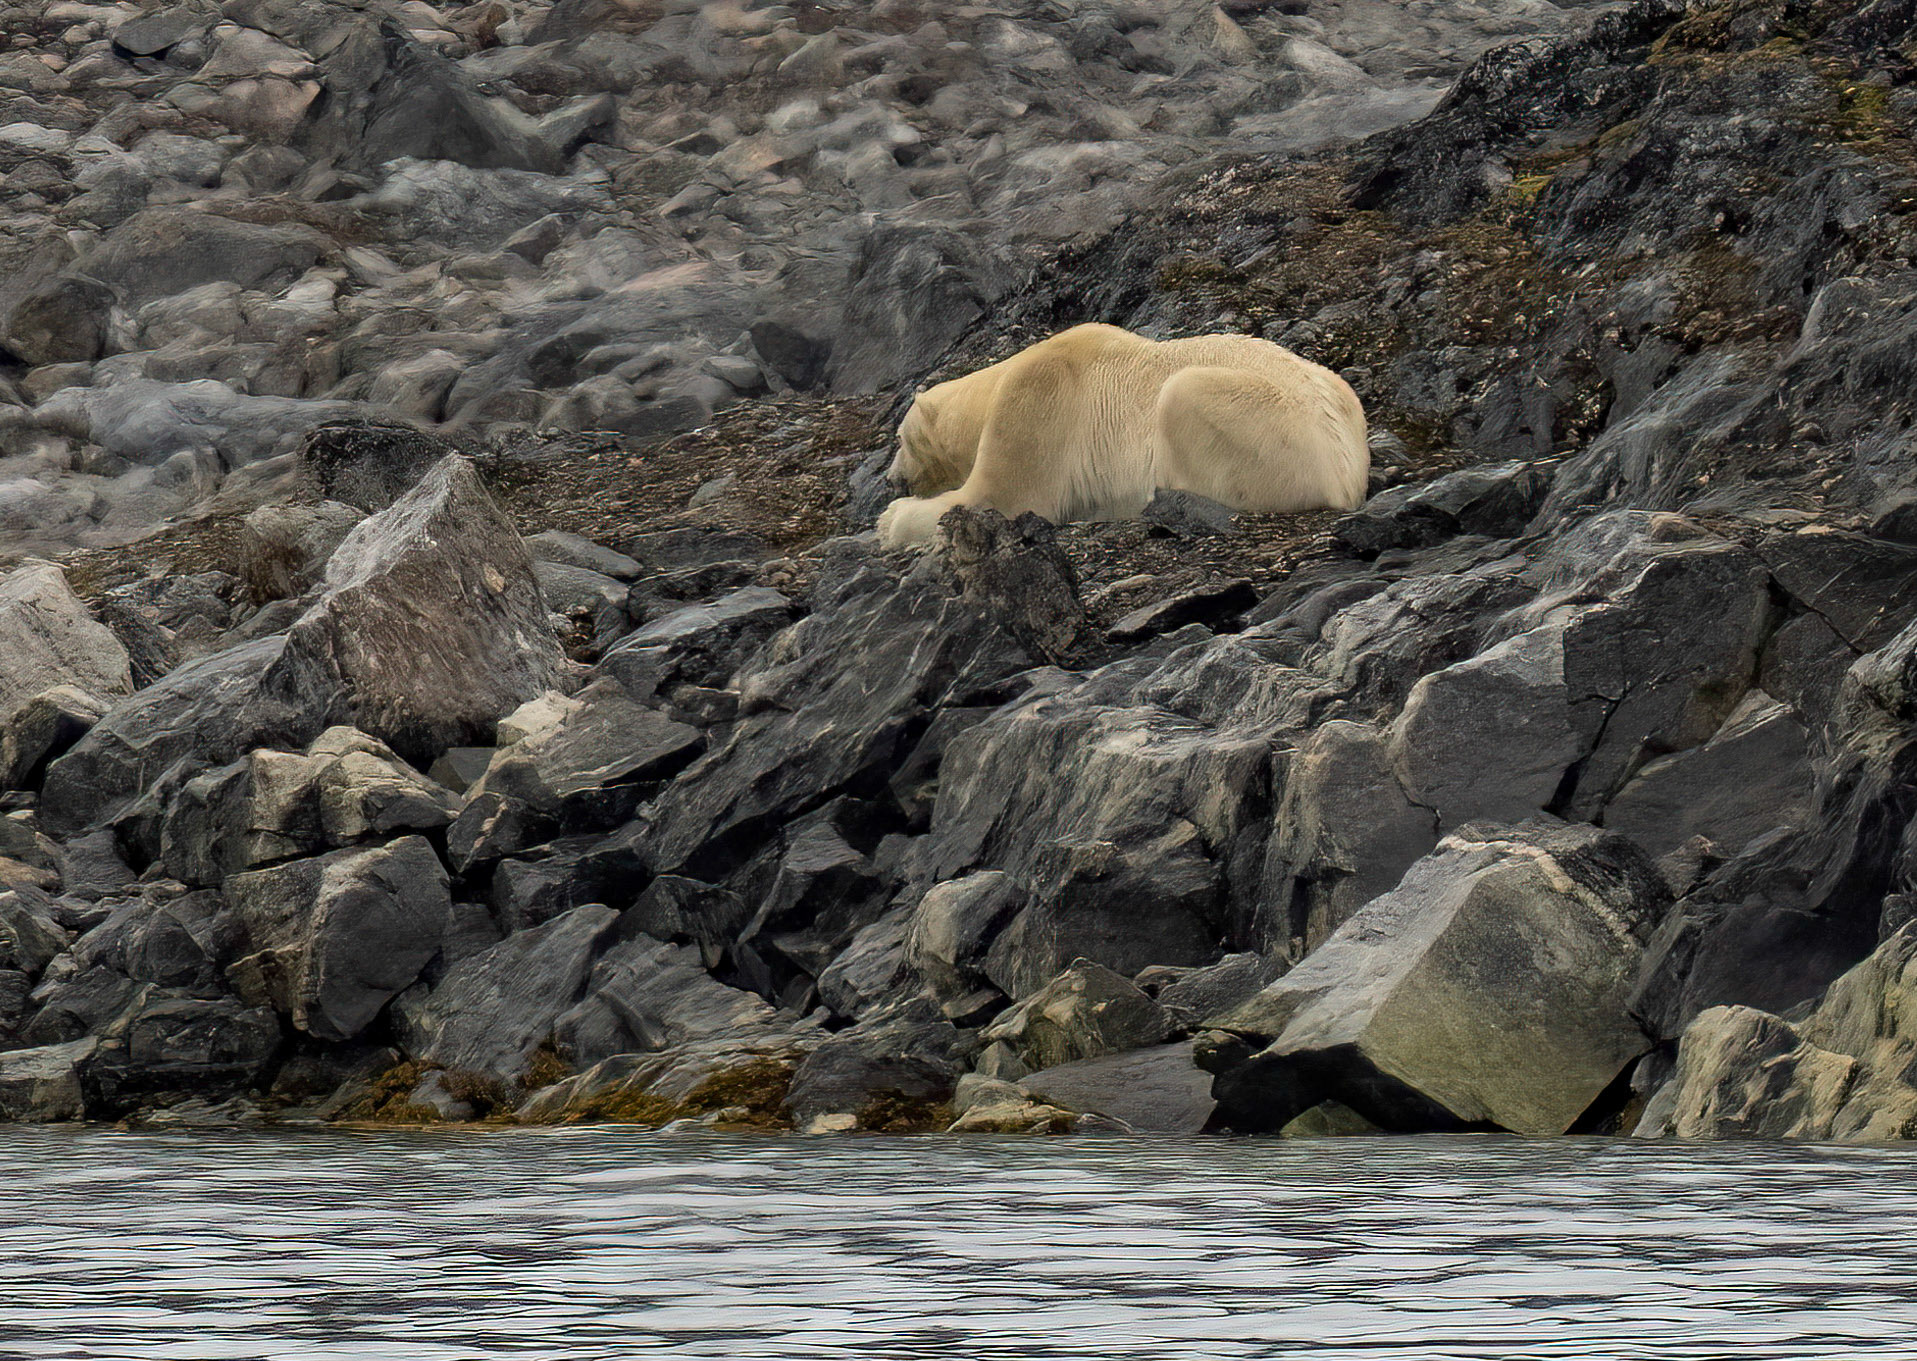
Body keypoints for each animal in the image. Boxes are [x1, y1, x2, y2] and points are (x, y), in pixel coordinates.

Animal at [876, 323, 1369, 548]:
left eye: (900, 440)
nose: (889, 479)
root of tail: (1345, 472)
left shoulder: (1037, 404)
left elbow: (999, 497)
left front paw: (890, 520)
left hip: (1263, 428)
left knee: (1181, 397)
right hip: (1341, 394)